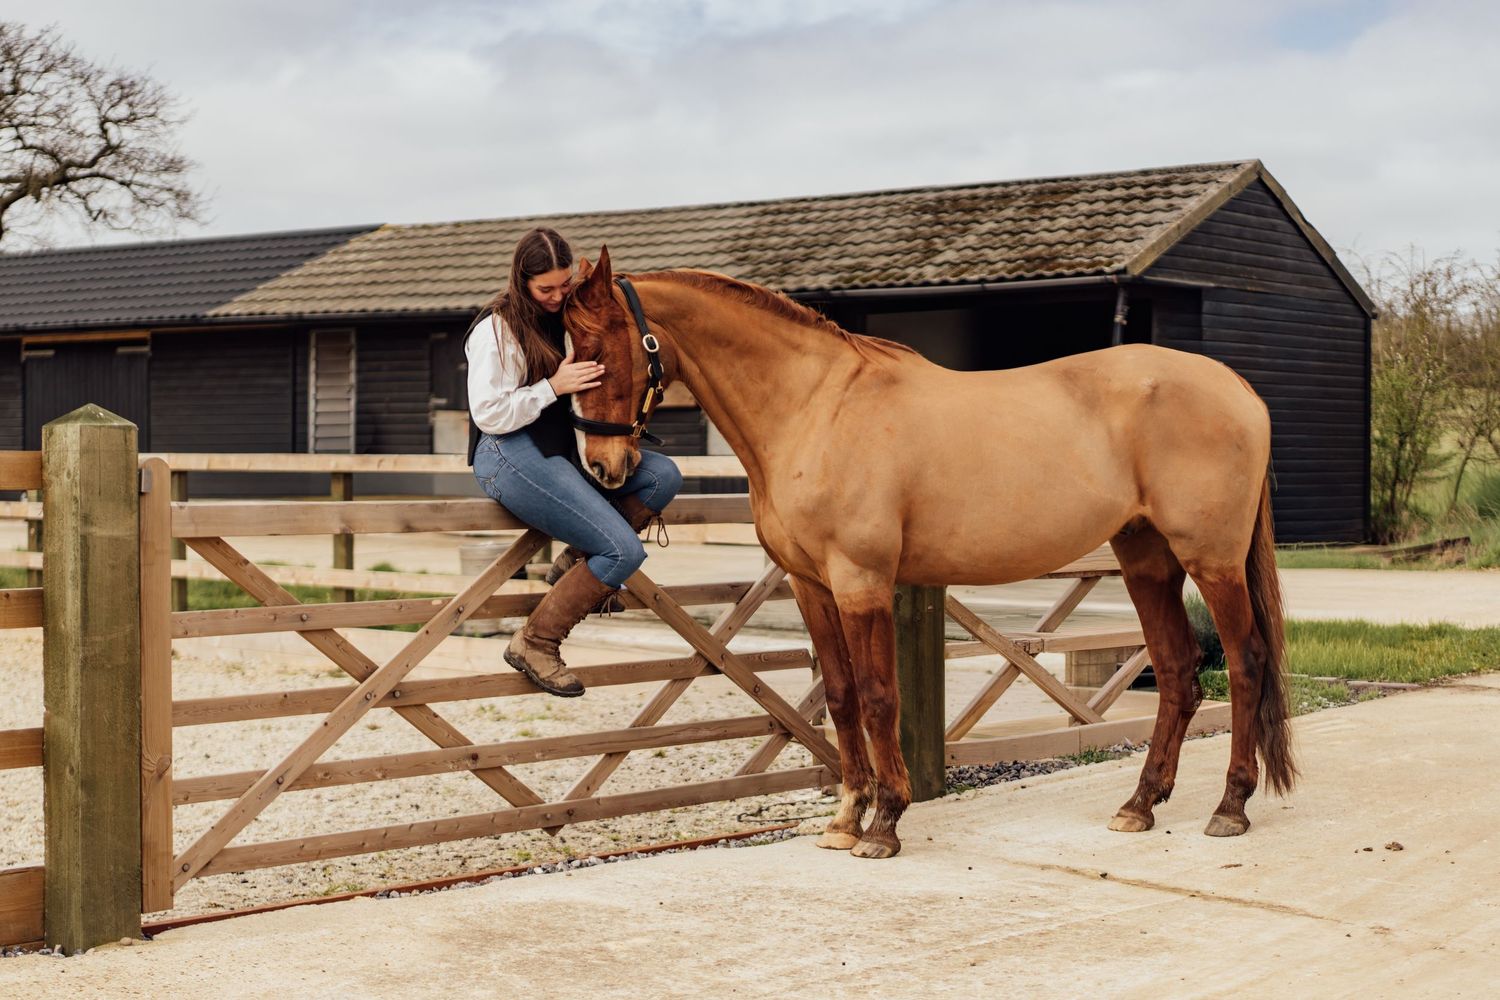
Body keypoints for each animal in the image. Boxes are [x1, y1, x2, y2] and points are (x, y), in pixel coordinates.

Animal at [560, 247, 1295, 859]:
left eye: (600, 349)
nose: (602, 467)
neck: (815, 407)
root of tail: (1238, 389)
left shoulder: (862, 580)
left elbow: (879, 696)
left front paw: (884, 824)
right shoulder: (809, 585)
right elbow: (840, 696)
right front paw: (844, 819)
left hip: (1212, 561)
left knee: (1246, 663)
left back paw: (1230, 807)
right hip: (1147, 557)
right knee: (1176, 670)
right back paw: (1140, 804)